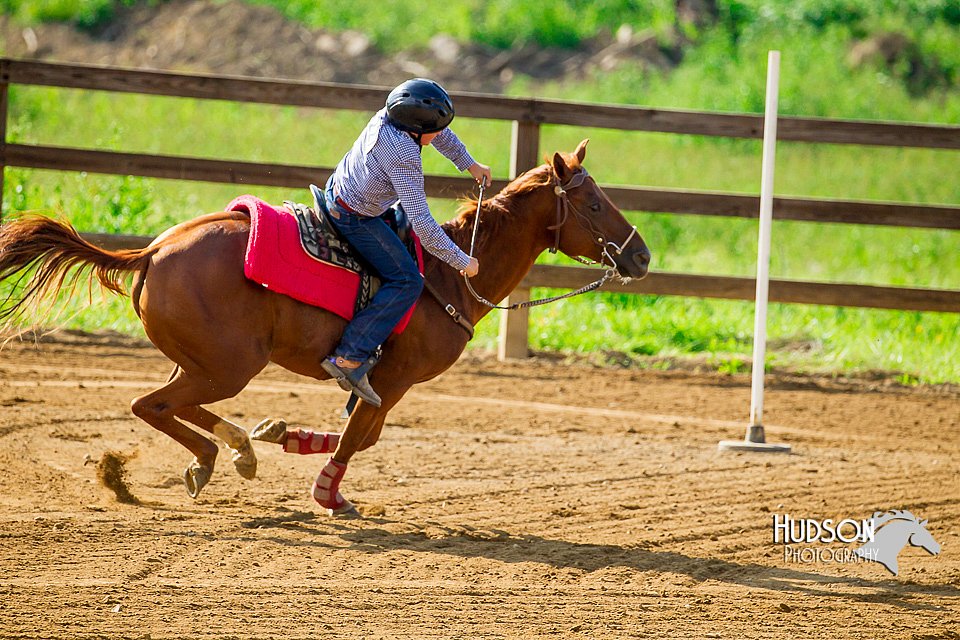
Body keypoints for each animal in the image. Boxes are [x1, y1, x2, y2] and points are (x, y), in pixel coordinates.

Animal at [0, 140, 652, 516]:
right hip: (229, 366)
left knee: (170, 405)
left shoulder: (380, 382)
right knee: (151, 405)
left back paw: (235, 448)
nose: (642, 257)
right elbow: (358, 437)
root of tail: (153, 251)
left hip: (202, 361)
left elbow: (360, 433)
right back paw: (214, 457)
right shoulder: (391, 380)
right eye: (594, 203)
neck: (447, 276)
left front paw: (281, 436)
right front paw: (328, 494)